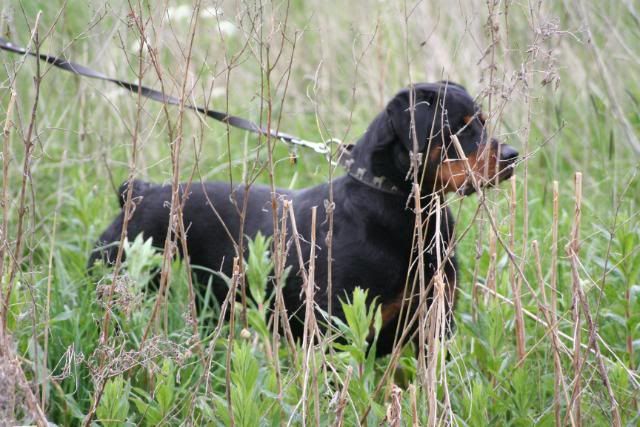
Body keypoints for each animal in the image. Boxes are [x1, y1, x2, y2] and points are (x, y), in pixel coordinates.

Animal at [90, 82, 516, 356]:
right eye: (460, 128)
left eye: (483, 122)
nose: (512, 155)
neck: (404, 209)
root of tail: (140, 191)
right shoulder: (338, 334)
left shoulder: (432, 328)